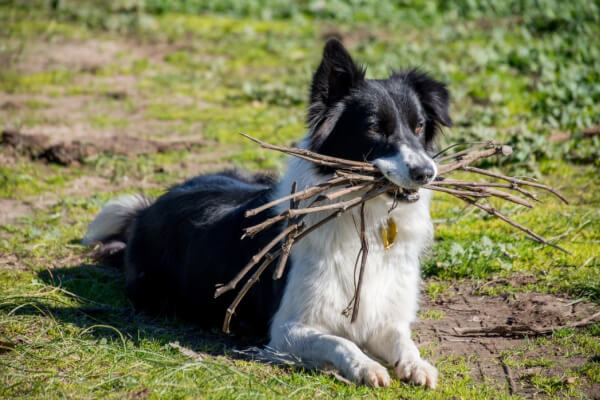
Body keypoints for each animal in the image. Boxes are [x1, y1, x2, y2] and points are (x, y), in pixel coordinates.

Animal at [83, 39, 450, 388]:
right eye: (374, 127)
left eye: (418, 127)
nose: (426, 172)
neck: (365, 218)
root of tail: (148, 208)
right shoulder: (287, 329)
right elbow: (340, 342)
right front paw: (367, 367)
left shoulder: (386, 317)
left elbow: (404, 342)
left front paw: (417, 366)